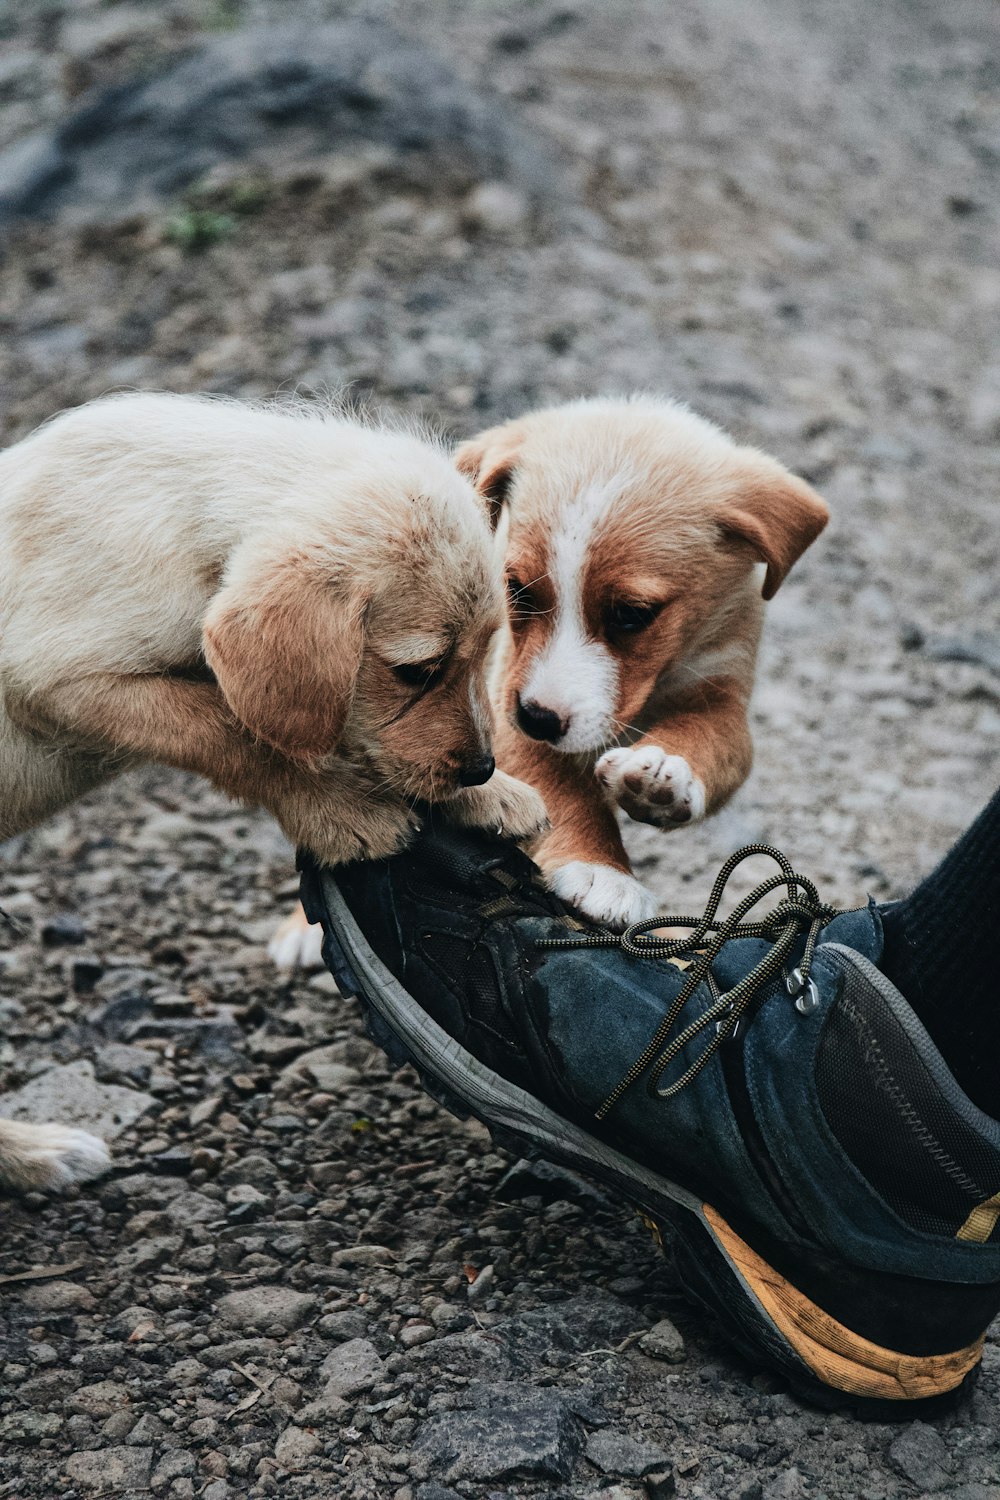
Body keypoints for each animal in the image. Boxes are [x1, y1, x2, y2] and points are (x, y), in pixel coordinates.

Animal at [0, 393, 548, 1188]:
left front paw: (491, 798)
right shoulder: (61, 683)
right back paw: (36, 1154)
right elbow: (233, 732)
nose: (479, 767)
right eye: (417, 671)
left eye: (484, 654)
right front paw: (342, 810)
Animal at [455, 393, 827, 930]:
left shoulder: (722, 691)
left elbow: (706, 736)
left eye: (632, 615)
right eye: (519, 591)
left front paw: (666, 773)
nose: (537, 719)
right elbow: (556, 788)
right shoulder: (508, 692)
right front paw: (600, 869)